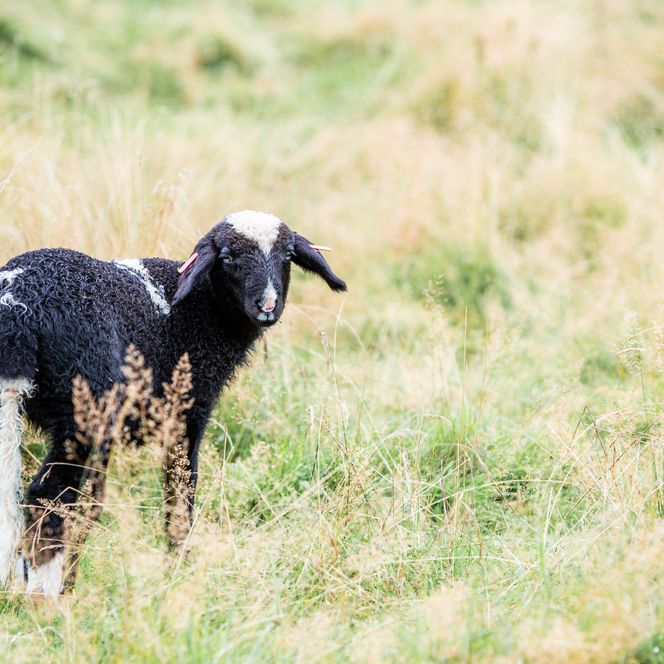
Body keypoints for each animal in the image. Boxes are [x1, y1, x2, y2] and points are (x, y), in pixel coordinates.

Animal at [0, 210, 346, 596]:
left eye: (287, 256)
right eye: (228, 259)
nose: (268, 306)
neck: (199, 310)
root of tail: (17, 303)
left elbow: (93, 504)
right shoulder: (185, 413)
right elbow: (180, 490)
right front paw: (178, 568)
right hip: (83, 411)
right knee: (48, 496)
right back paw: (44, 594)